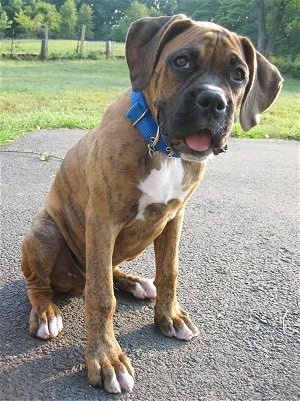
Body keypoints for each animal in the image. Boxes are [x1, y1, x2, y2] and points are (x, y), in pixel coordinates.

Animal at [21, 14, 282, 390]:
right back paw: (45, 313)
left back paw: (134, 283)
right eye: (181, 61)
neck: (162, 146)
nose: (213, 101)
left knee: (107, 271)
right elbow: (101, 297)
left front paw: (169, 316)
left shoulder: (174, 217)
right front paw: (106, 359)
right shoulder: (103, 221)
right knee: (44, 283)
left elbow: (169, 270)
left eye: (238, 74)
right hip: (45, 233)